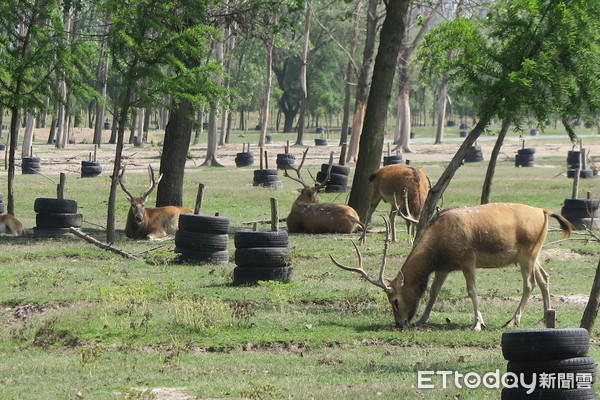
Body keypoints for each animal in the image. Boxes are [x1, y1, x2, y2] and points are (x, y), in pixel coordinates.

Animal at [332, 203, 572, 332]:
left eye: (395, 300)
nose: (400, 323)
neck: (438, 244)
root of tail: (543, 211)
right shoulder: (443, 268)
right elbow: (433, 293)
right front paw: (421, 319)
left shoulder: (467, 260)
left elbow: (472, 290)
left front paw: (478, 324)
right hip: (533, 254)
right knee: (544, 277)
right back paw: (545, 317)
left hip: (527, 253)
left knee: (529, 284)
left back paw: (512, 321)